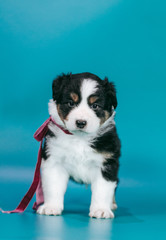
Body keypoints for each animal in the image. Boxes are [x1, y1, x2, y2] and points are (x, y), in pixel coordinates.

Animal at [37, 72, 120, 218]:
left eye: (95, 106)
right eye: (71, 103)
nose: (81, 122)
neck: (80, 138)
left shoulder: (107, 163)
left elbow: (103, 190)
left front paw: (101, 210)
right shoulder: (54, 159)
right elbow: (53, 186)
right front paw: (51, 207)